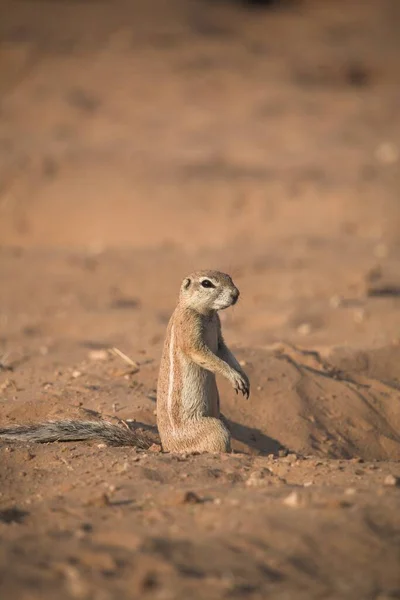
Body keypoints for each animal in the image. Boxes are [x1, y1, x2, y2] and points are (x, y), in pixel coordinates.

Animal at [0, 270, 248, 452]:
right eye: (207, 283)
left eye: (230, 277)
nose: (236, 294)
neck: (206, 314)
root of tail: (167, 448)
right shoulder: (188, 332)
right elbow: (202, 354)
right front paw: (234, 376)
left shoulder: (219, 336)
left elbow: (224, 351)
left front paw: (243, 377)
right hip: (214, 429)